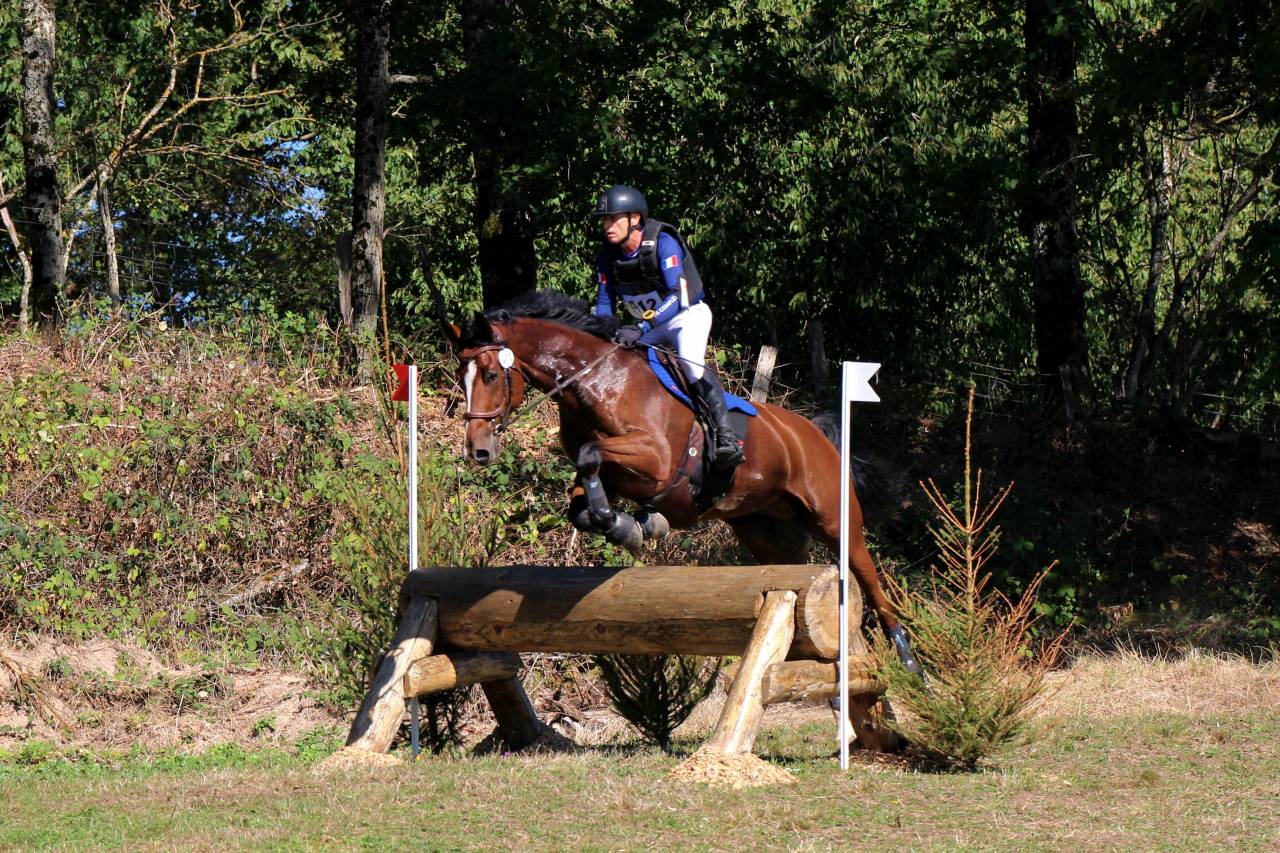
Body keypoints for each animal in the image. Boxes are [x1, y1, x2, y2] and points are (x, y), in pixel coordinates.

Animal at [444, 290, 919, 672]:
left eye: (490, 375)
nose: (477, 451)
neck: (597, 382)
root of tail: (812, 432)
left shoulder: (654, 459)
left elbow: (590, 454)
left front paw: (637, 526)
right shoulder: (613, 477)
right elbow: (582, 502)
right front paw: (632, 525)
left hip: (834, 519)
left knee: (866, 575)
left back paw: (908, 659)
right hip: (767, 532)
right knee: (797, 579)